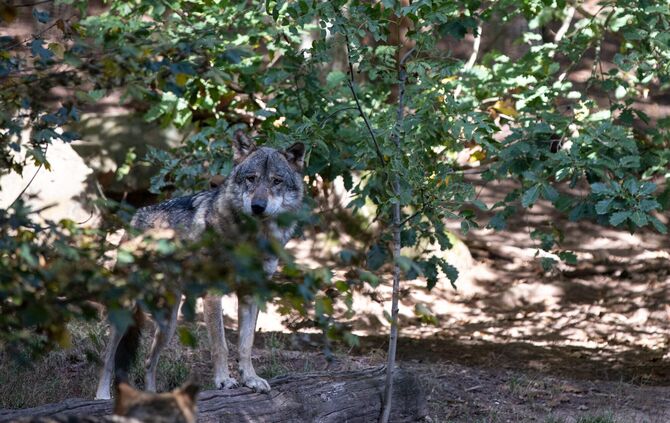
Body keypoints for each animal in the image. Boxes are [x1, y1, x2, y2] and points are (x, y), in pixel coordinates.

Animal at [95, 131, 305, 400]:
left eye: (276, 181)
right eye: (251, 179)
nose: (258, 206)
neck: (253, 238)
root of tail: (136, 215)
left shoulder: (250, 294)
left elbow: (245, 345)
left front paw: (251, 379)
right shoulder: (213, 294)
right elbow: (221, 346)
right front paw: (224, 381)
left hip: (168, 325)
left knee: (149, 362)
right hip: (127, 311)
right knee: (108, 357)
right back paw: (102, 396)